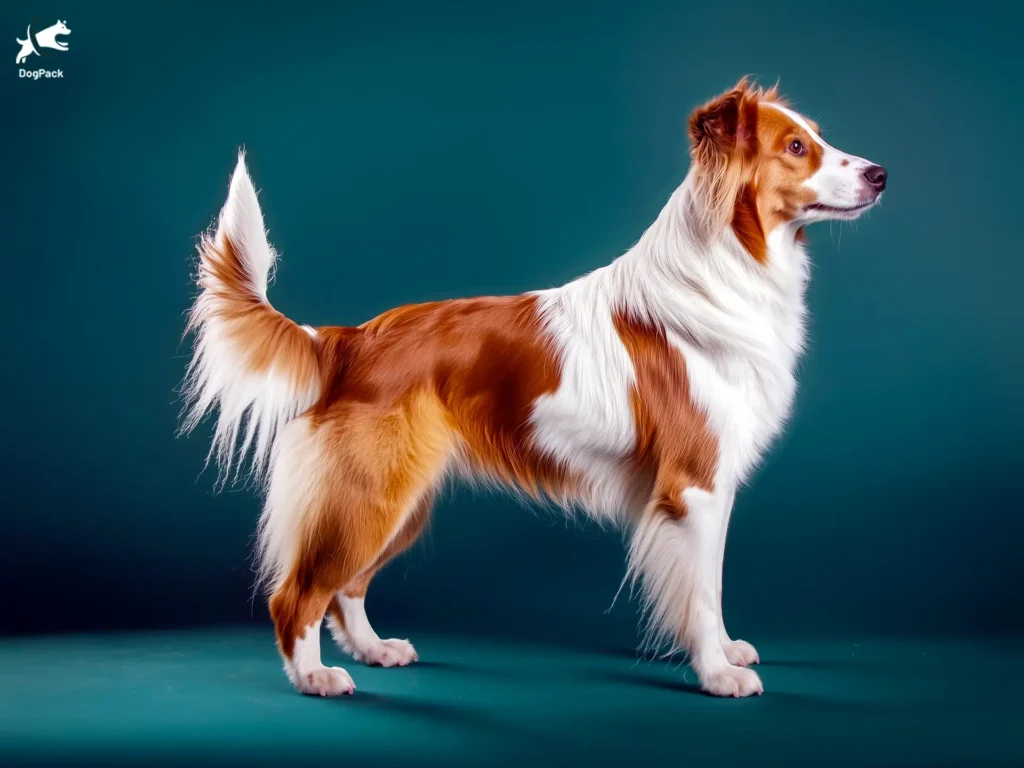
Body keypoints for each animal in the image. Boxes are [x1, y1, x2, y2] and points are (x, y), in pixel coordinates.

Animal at [184, 78, 888, 696]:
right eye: (795, 147)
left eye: (817, 138)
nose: (881, 174)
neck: (731, 262)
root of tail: (347, 339)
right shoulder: (694, 484)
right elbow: (701, 591)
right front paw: (717, 676)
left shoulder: (713, 488)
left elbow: (709, 588)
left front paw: (723, 653)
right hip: (370, 492)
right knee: (297, 594)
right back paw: (316, 678)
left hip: (404, 498)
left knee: (346, 587)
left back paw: (374, 649)